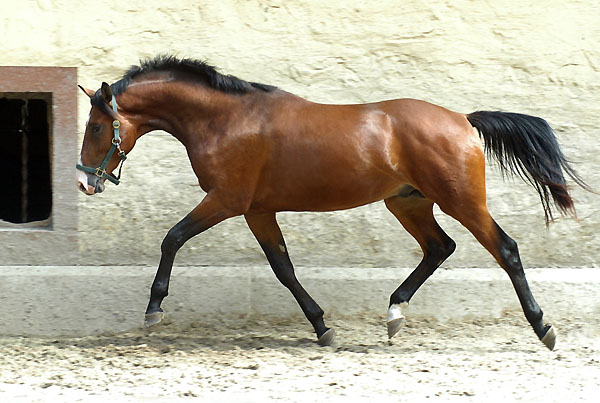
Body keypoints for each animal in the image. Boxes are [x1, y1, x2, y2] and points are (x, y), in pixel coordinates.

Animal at [75, 55, 584, 352]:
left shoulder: (226, 199)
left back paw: (544, 329)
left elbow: (172, 238)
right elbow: (283, 268)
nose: (84, 182)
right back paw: (394, 314)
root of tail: (462, 119)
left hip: (460, 200)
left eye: (97, 127)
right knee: (440, 248)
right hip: (408, 204)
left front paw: (153, 311)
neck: (227, 119)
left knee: (506, 249)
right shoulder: (257, 209)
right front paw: (323, 328)